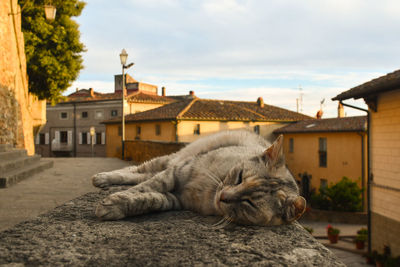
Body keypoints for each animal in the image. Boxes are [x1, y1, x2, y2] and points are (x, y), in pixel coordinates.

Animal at [92, 131, 306, 227]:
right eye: (239, 177)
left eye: (249, 203)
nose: (223, 196)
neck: (208, 194)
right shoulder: (177, 171)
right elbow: (145, 188)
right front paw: (115, 202)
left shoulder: (176, 199)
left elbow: (149, 199)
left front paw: (118, 205)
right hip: (168, 160)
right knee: (137, 170)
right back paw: (103, 178)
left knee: (142, 175)